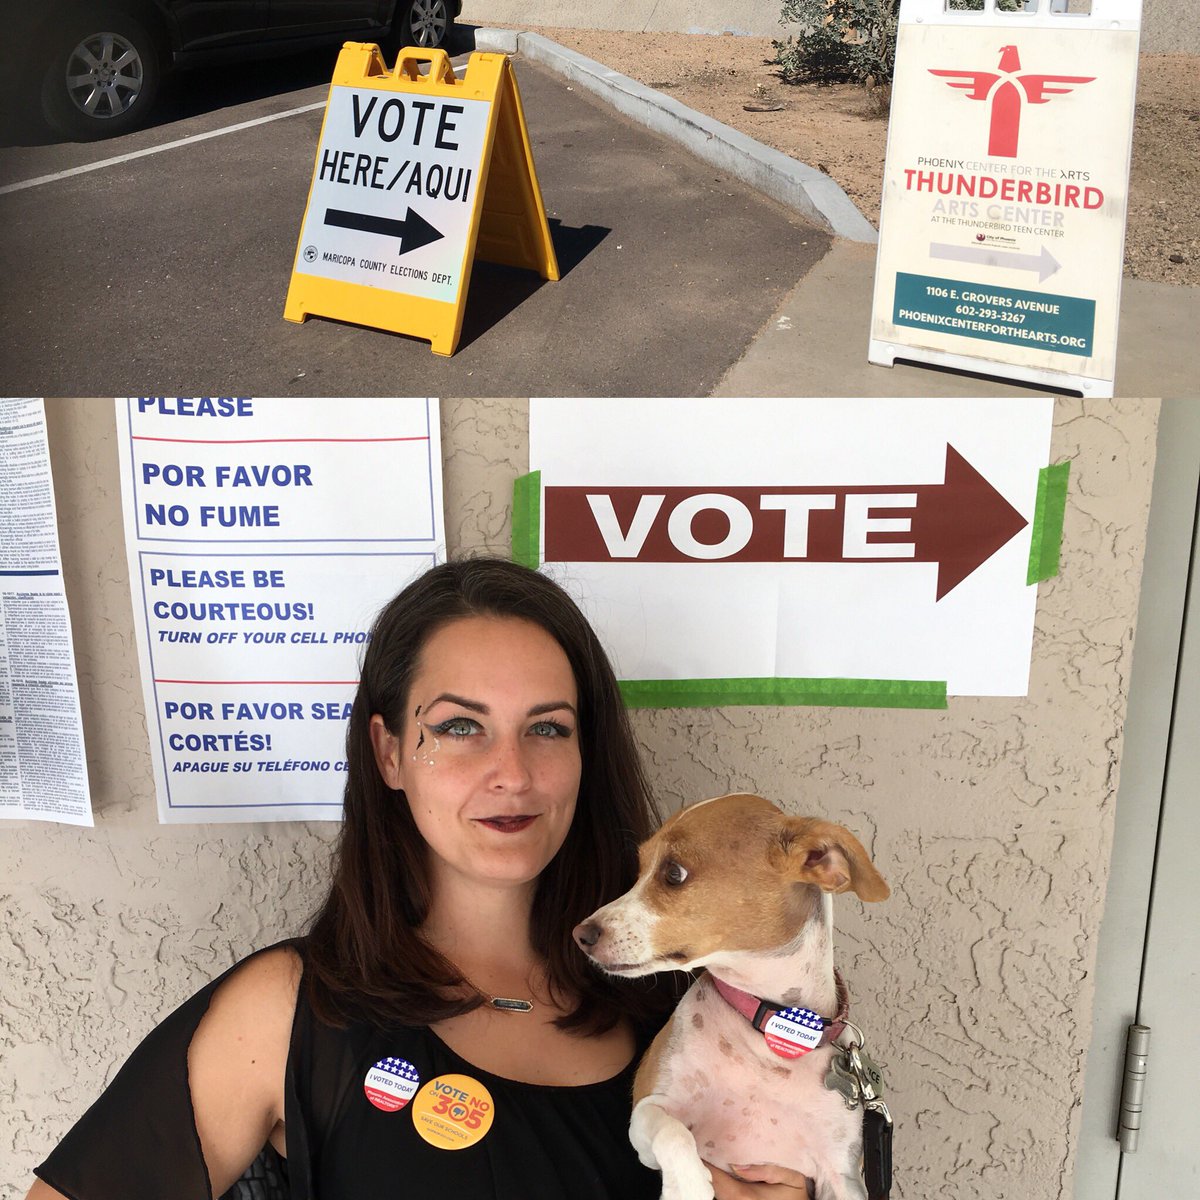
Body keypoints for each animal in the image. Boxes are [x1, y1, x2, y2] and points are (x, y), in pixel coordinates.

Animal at [571, 792, 892, 1195]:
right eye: (640, 868)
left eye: (673, 873)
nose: (581, 935)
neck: (771, 1026)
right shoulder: (647, 1109)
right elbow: (671, 1131)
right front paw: (688, 1187)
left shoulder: (843, 1177)